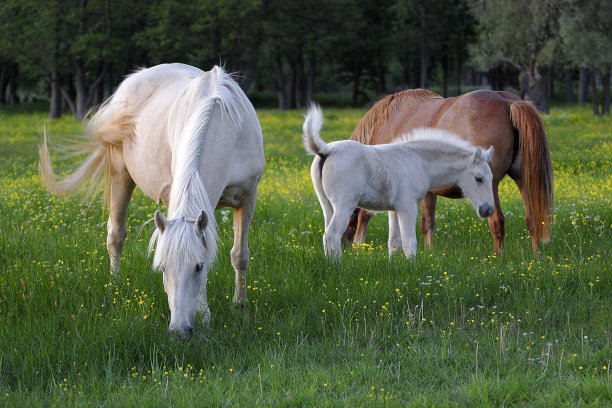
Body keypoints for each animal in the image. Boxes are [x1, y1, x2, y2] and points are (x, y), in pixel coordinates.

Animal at [39, 63, 264, 336]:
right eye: (163, 267)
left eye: (198, 267)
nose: (180, 330)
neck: (224, 124)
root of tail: (134, 79)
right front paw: (205, 315)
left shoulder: (247, 198)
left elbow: (239, 255)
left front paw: (239, 305)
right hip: (121, 175)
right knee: (116, 234)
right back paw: (115, 284)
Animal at [304, 103, 494, 260]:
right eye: (479, 178)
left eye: (492, 178)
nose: (487, 210)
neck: (419, 161)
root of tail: (326, 150)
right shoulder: (407, 207)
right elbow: (409, 243)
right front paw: (412, 270)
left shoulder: (394, 209)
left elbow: (394, 243)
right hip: (345, 204)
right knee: (332, 234)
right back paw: (338, 267)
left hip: (327, 204)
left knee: (326, 234)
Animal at [344, 89, 556, 255]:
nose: (345, 244)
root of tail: (507, 101)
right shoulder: (428, 192)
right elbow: (427, 222)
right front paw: (429, 252)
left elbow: (366, 214)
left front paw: (359, 245)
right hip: (524, 180)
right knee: (533, 221)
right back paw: (536, 256)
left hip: (492, 185)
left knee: (497, 222)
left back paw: (498, 258)